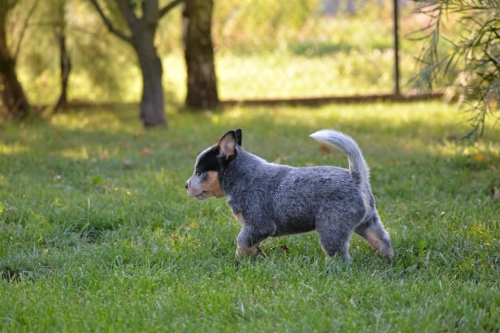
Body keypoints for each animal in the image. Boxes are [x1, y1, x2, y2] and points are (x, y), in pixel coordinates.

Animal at [186, 128, 392, 260]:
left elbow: (242, 242)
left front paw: (238, 261)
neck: (243, 176)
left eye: (198, 171)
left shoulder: (258, 224)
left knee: (340, 256)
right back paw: (388, 261)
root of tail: (356, 179)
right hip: (368, 223)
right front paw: (257, 256)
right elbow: (251, 244)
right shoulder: (252, 228)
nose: (186, 185)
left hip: (331, 228)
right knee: (384, 240)